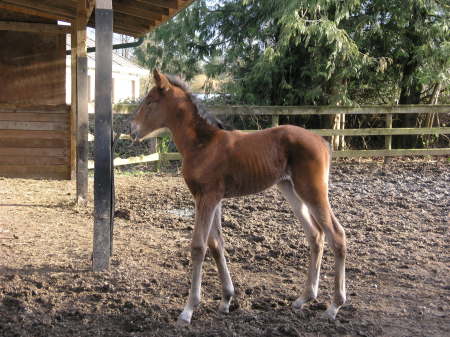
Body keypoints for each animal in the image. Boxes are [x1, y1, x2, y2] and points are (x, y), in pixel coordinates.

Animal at [130, 69, 348, 324]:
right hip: (290, 189)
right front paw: (226, 300)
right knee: (315, 234)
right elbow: (216, 244)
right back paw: (304, 298)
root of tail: (323, 141)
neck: (203, 144)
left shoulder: (208, 197)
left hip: (312, 191)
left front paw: (188, 309)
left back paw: (334, 306)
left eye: (150, 102)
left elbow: (198, 246)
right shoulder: (211, 199)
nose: (132, 130)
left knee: (336, 235)